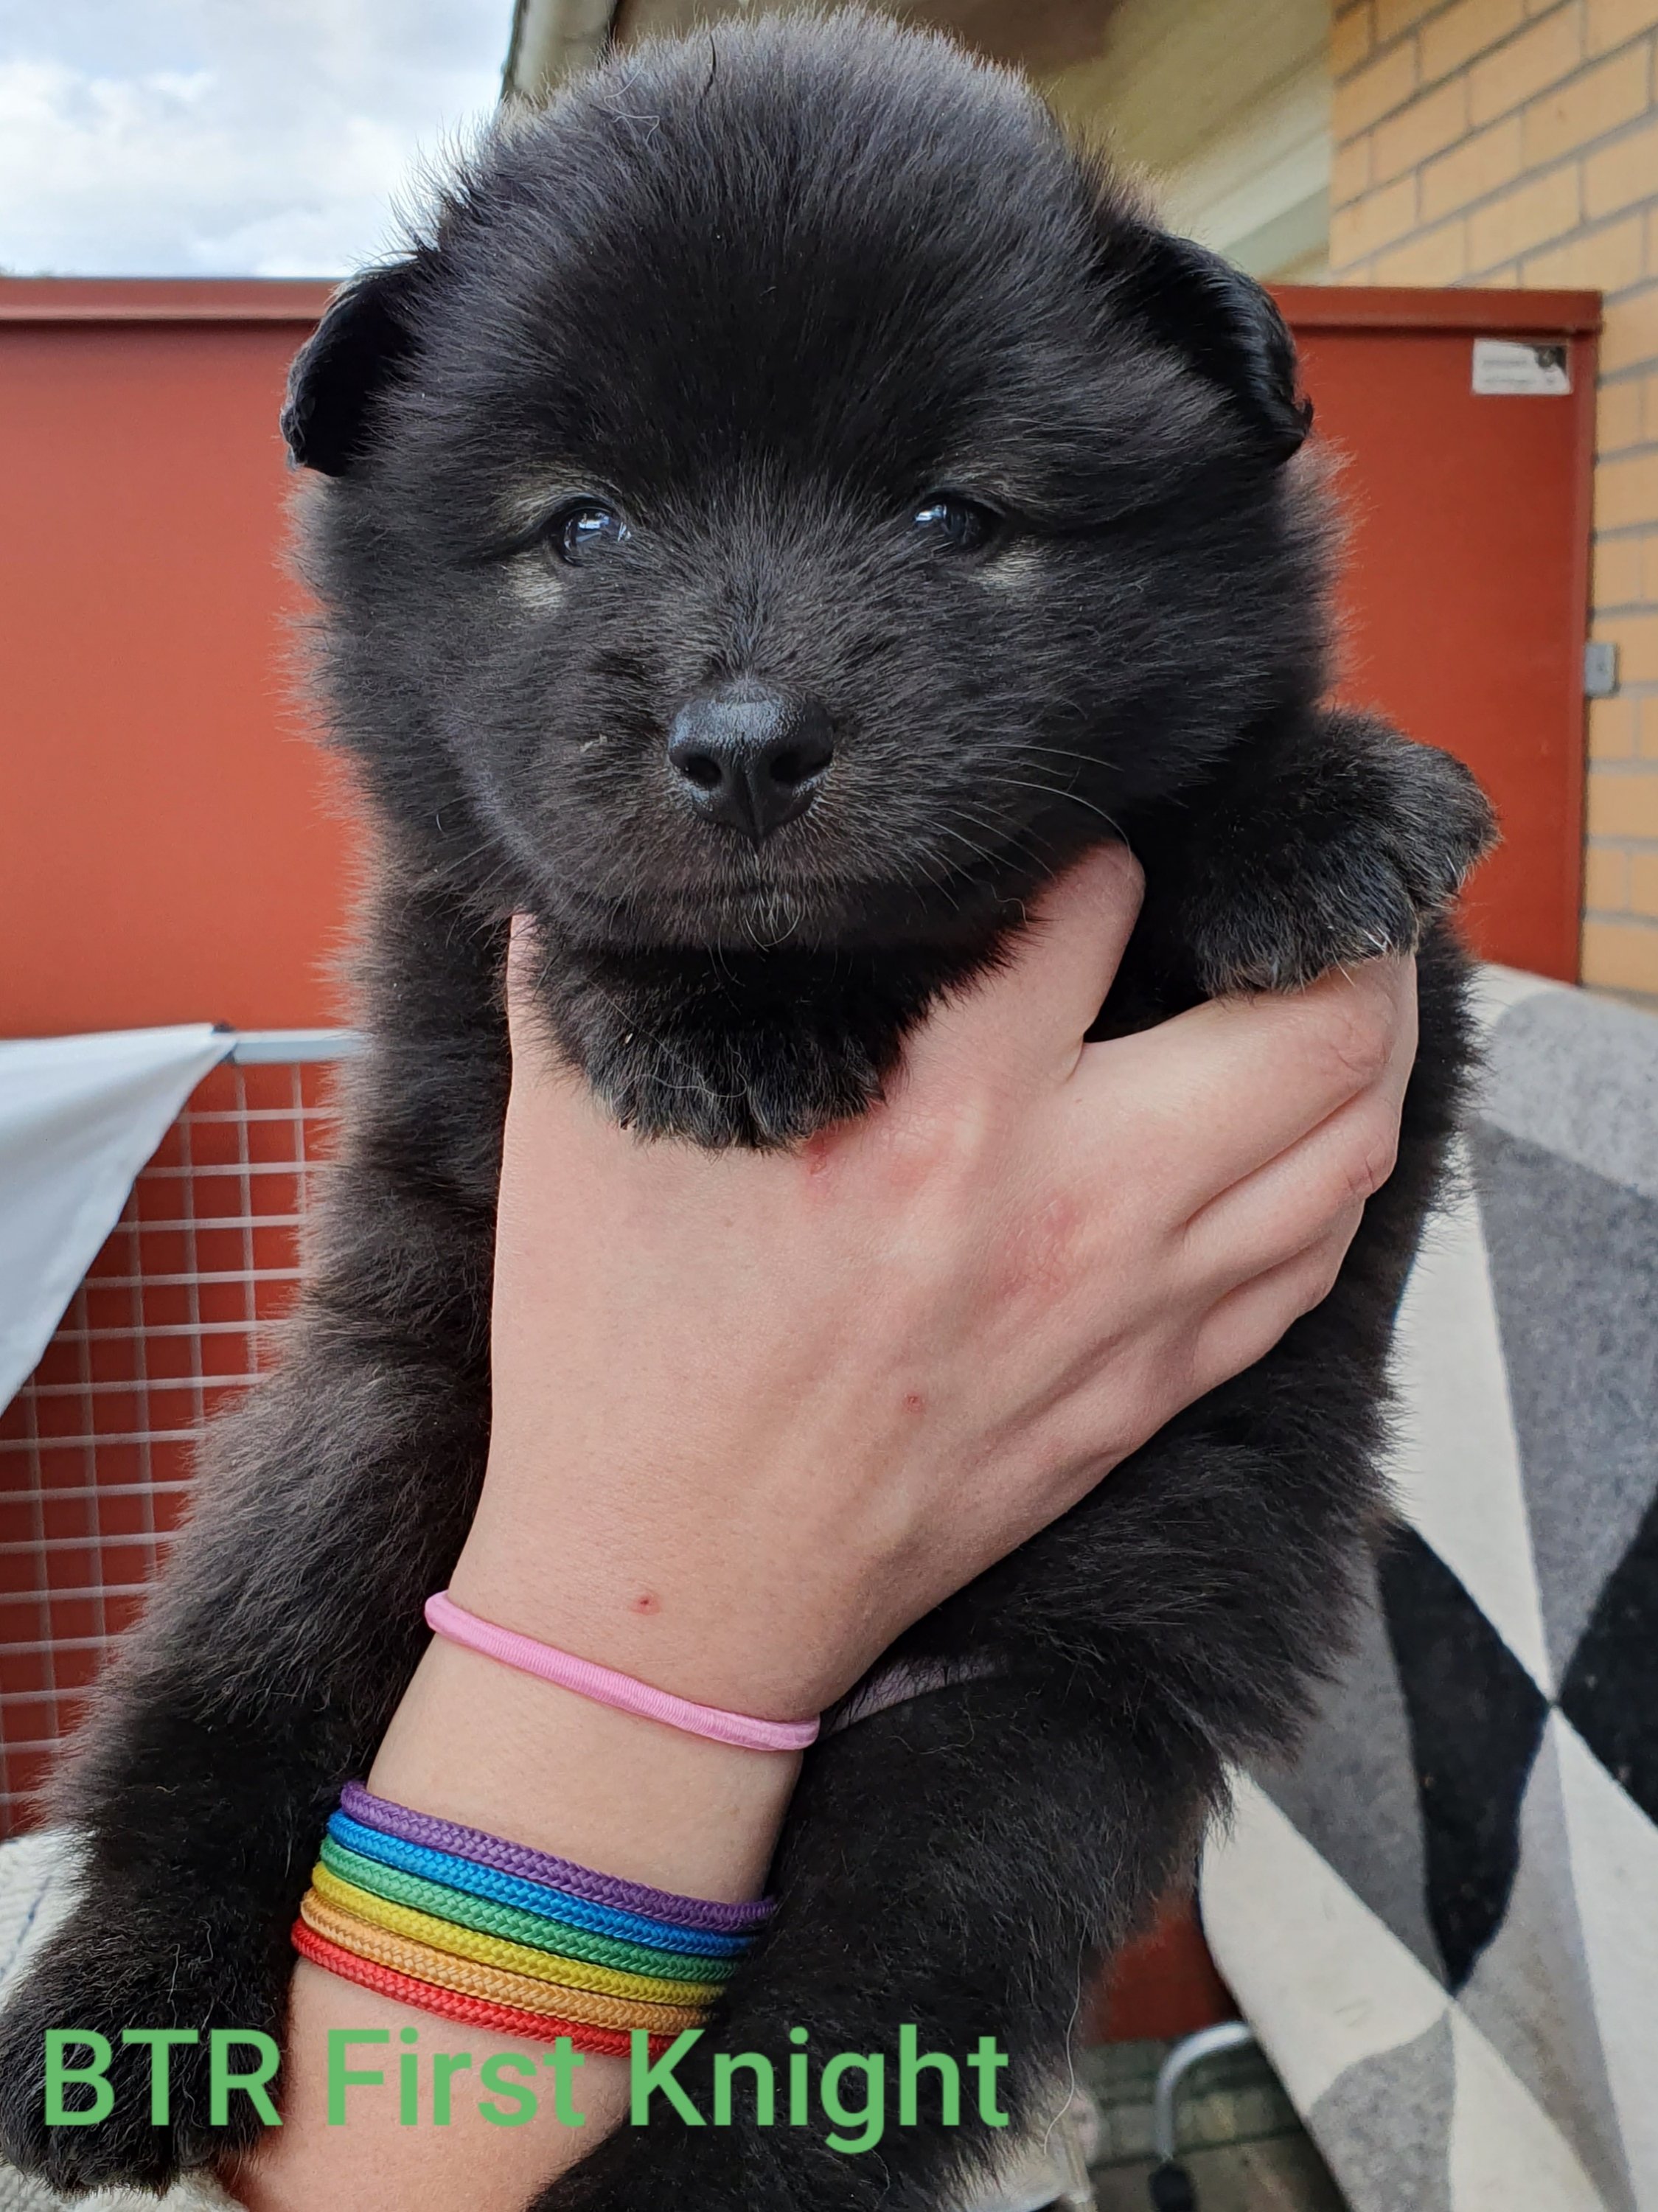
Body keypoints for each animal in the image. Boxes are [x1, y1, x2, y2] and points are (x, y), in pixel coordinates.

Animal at [0, 14, 1494, 2209]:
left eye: (956, 518)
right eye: (583, 526)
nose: (746, 743)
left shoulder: (1407, 1028)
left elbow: (1196, 798)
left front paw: (1309, 803)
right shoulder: (463, 999)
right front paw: (709, 1015)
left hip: (1026, 1734)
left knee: (849, 2023)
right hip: (359, 1444)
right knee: (220, 1711)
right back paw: (124, 2007)